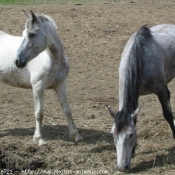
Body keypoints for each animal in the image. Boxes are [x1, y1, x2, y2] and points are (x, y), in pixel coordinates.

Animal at [0, 10, 82, 146]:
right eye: (24, 34)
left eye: (31, 34)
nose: (17, 61)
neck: (52, 60)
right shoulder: (38, 86)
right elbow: (39, 113)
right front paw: (38, 139)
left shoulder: (61, 85)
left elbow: (67, 110)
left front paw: (76, 136)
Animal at [107, 24, 175, 171]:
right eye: (113, 134)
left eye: (130, 134)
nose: (121, 167)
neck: (139, 59)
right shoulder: (136, 95)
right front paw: (132, 152)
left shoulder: (160, 90)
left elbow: (167, 114)